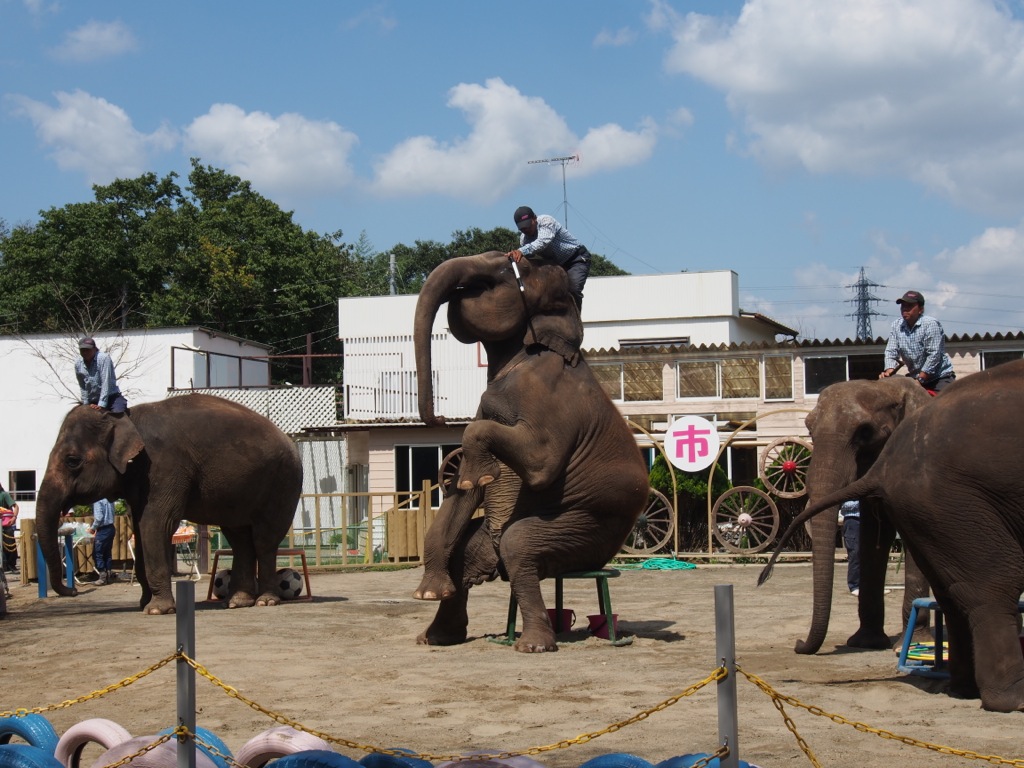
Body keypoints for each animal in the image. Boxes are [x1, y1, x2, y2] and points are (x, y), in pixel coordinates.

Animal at [36, 393, 299, 618]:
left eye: (72, 461)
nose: (73, 591)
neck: (125, 418)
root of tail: (289, 439)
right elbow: (139, 527)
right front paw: (144, 604)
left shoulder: (165, 464)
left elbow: (156, 523)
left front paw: (156, 610)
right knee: (240, 538)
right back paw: (237, 602)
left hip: (283, 483)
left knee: (264, 540)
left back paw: (265, 601)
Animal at [409, 252, 643, 655]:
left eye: (505, 269)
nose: (438, 418)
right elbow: (463, 491)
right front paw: (426, 593)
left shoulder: (550, 398)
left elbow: (539, 465)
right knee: (468, 555)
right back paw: (436, 638)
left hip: (588, 532)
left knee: (519, 545)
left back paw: (532, 646)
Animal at [798, 378, 937, 655]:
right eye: (809, 428)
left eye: (864, 432)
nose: (798, 645)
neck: (890, 386)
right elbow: (873, 536)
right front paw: (866, 643)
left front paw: (913, 644)